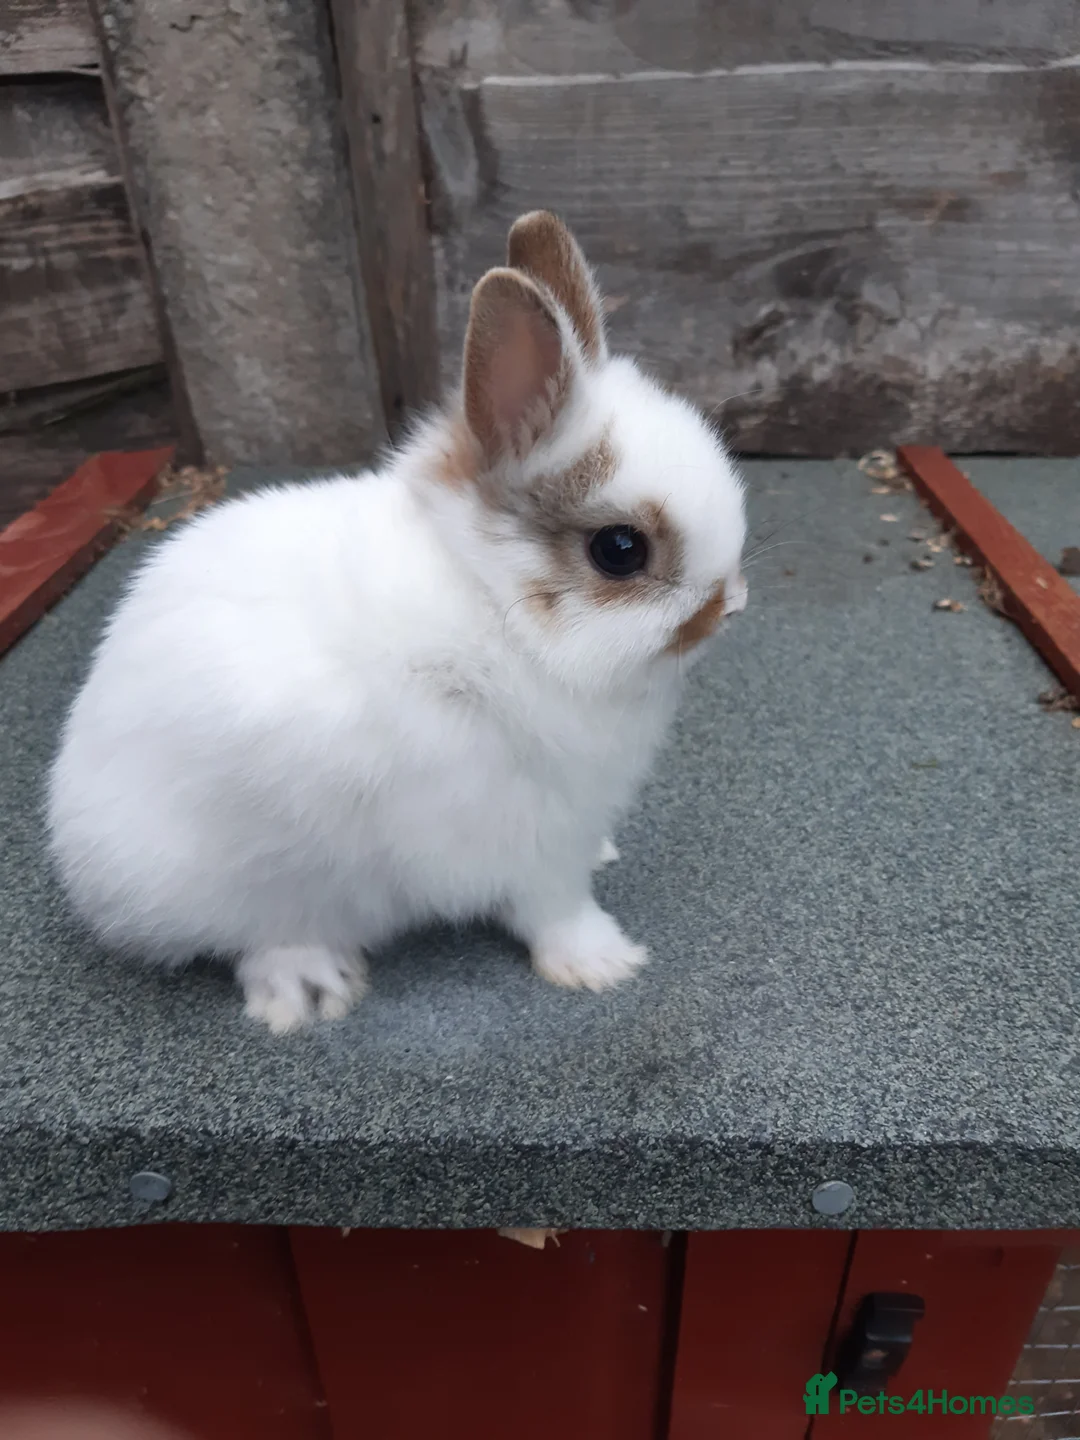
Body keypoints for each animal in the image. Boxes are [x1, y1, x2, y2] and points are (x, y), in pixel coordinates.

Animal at [47, 211, 748, 1033]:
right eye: (620, 550)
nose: (729, 605)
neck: (488, 602)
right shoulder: (531, 833)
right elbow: (555, 908)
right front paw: (604, 965)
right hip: (229, 875)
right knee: (251, 936)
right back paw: (310, 990)